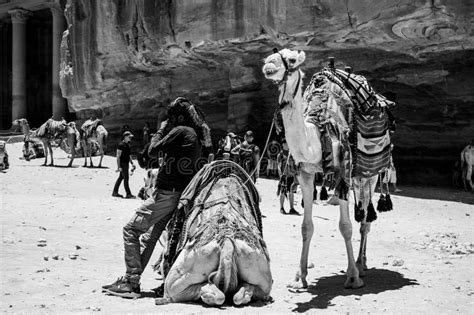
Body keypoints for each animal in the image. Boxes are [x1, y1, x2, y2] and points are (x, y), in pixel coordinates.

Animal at [262, 48, 394, 288]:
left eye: (292, 59)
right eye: (271, 55)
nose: (269, 65)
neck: (316, 129)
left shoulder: (343, 172)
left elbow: (345, 227)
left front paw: (352, 277)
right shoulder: (305, 174)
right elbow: (306, 227)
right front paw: (300, 277)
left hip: (370, 174)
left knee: (365, 218)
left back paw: (361, 265)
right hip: (357, 177)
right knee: (363, 212)